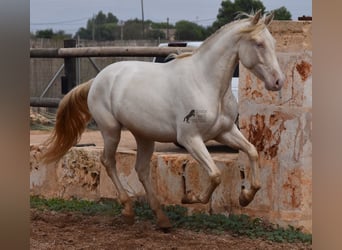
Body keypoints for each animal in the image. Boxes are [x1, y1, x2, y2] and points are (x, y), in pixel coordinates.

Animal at [41, 11, 284, 230]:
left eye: (273, 42)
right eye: (258, 43)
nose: (278, 82)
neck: (205, 83)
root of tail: (97, 80)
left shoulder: (225, 131)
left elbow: (252, 151)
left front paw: (246, 197)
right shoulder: (190, 139)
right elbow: (215, 175)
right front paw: (189, 198)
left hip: (144, 136)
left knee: (141, 170)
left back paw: (161, 218)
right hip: (111, 131)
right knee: (108, 162)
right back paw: (128, 210)